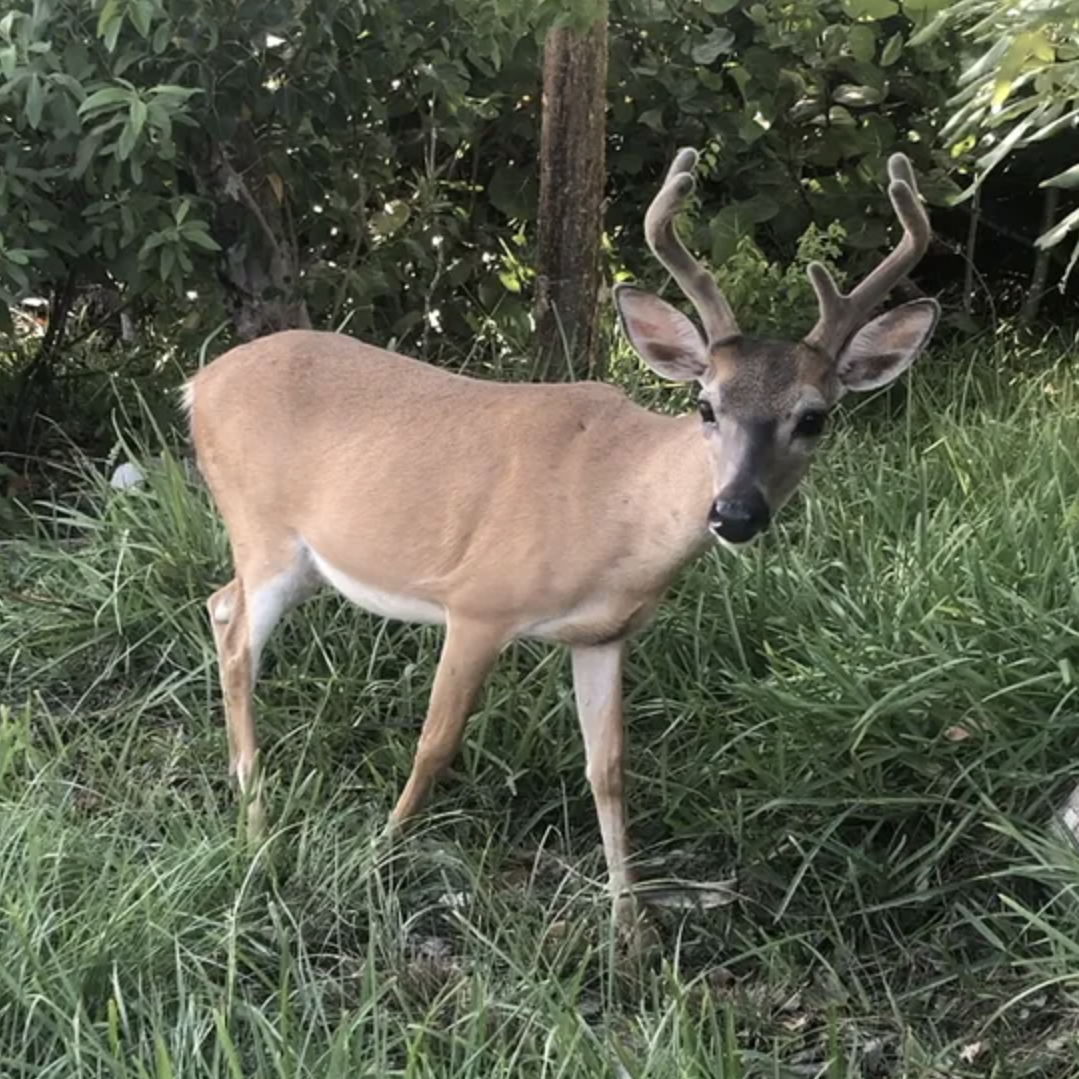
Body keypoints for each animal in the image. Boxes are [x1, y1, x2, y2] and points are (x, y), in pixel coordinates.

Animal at [184, 147, 939, 932]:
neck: (612, 508)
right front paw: (381, 851)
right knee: (237, 637)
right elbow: (436, 743)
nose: (734, 513)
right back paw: (256, 823)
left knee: (217, 603)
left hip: (295, 559)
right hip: (263, 530)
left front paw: (629, 929)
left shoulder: (603, 634)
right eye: (706, 404)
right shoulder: (479, 601)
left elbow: (608, 770)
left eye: (813, 417)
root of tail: (197, 384)